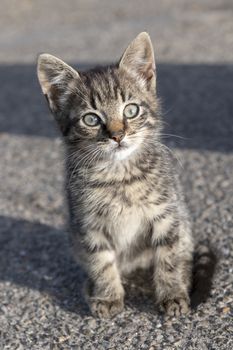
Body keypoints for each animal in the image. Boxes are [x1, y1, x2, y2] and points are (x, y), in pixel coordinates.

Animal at [36, 32, 193, 318]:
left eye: (131, 110)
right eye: (91, 119)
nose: (117, 135)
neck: (119, 176)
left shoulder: (166, 214)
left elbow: (168, 256)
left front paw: (172, 293)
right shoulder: (88, 224)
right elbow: (101, 261)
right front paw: (108, 296)